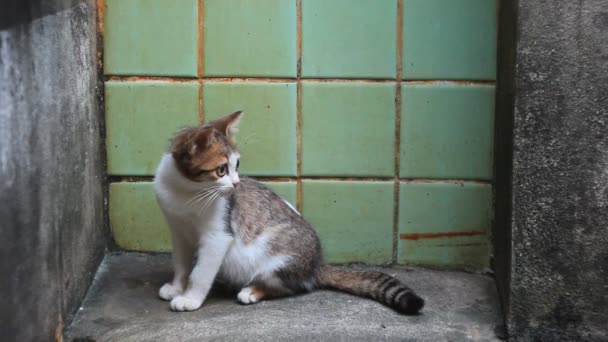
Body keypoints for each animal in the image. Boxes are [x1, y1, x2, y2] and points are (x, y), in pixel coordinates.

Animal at [154, 111, 426, 314]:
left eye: (237, 165)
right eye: (221, 170)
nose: (236, 184)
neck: (187, 193)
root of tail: (317, 264)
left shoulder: (218, 236)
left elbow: (201, 271)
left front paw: (190, 298)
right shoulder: (177, 230)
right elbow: (181, 263)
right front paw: (177, 287)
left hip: (277, 258)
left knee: (293, 286)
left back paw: (253, 291)